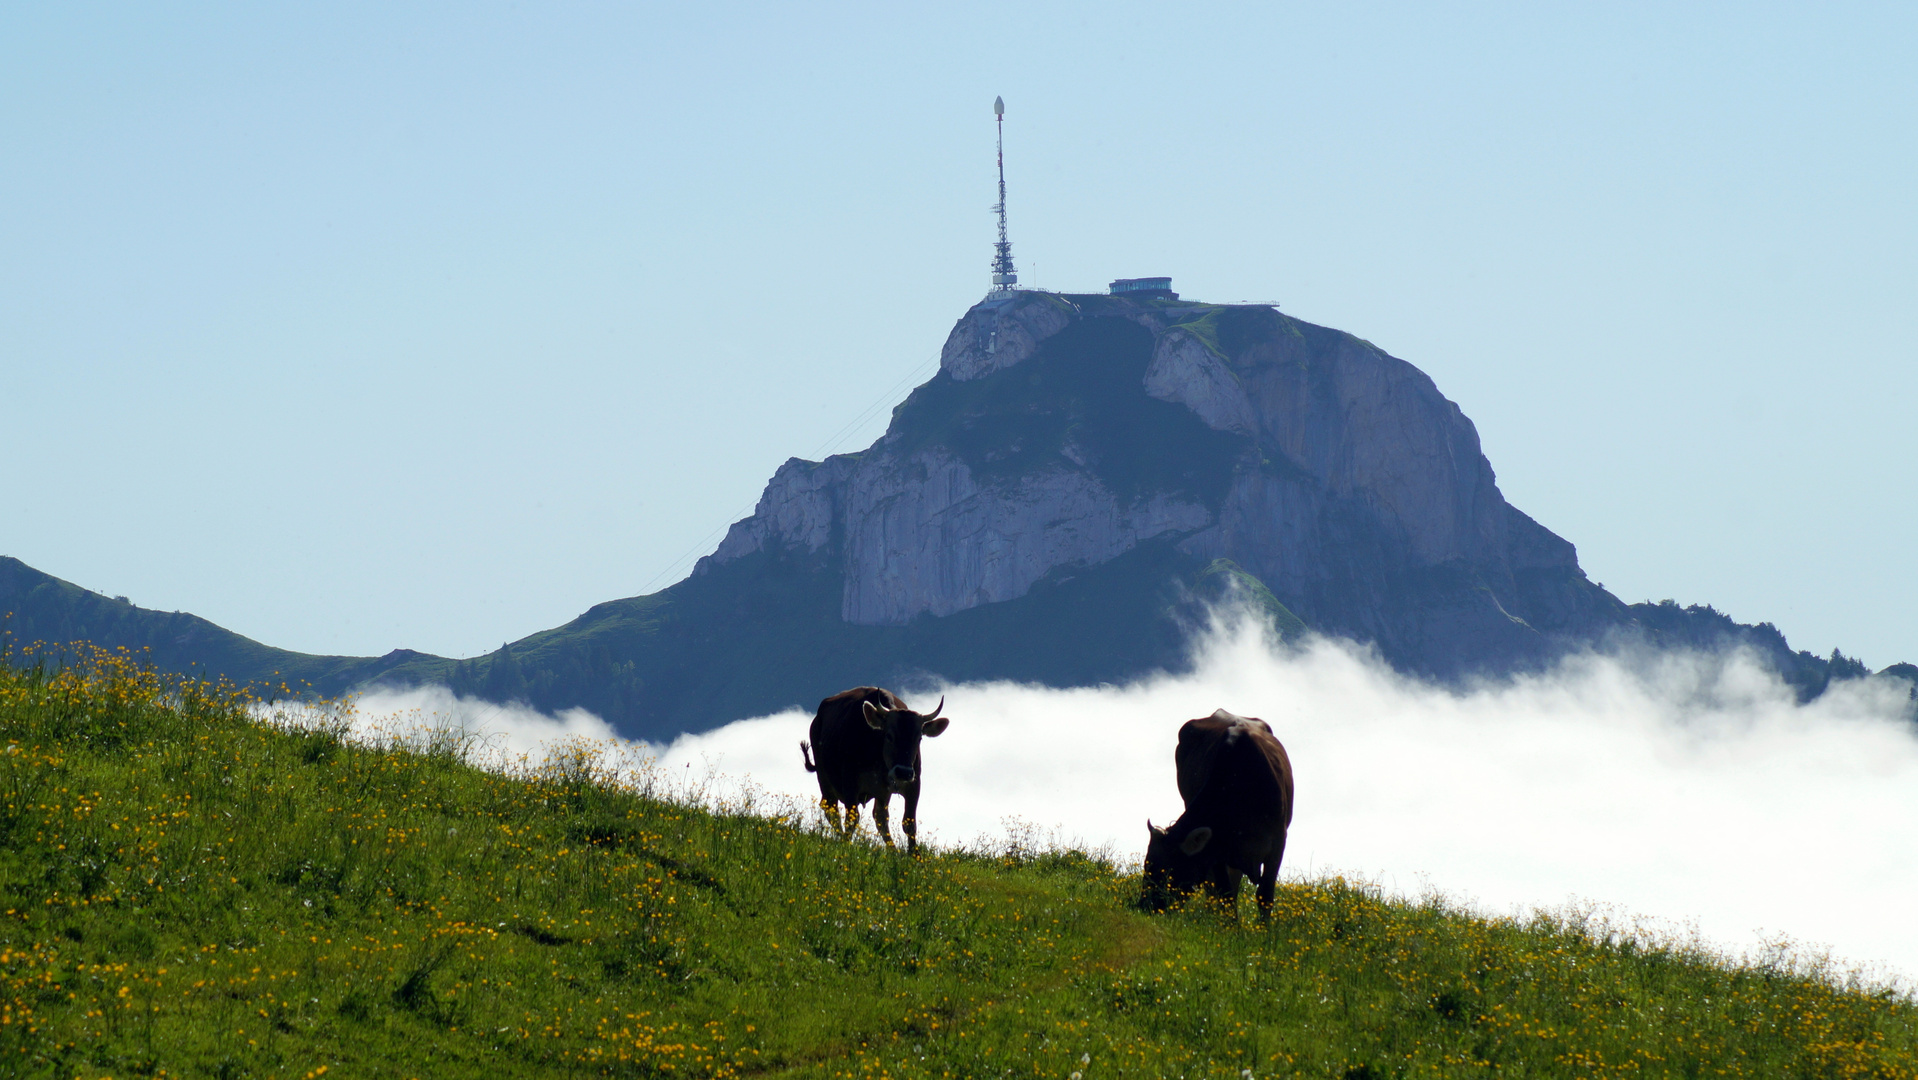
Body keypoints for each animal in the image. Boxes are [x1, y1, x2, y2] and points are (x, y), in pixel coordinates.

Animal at [794, 690, 951, 859]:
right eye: (889, 735)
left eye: (919, 738)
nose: (903, 772)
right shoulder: (849, 781)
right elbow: (852, 818)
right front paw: (845, 846)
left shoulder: (913, 784)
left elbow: (909, 823)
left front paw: (915, 856)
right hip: (824, 778)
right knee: (831, 808)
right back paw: (841, 838)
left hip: (882, 792)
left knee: (880, 817)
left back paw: (893, 851)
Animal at [1143, 709, 1296, 920]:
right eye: (1146, 865)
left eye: (1166, 870)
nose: (1143, 906)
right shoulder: (1217, 850)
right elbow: (1226, 894)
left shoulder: (1278, 843)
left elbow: (1265, 896)